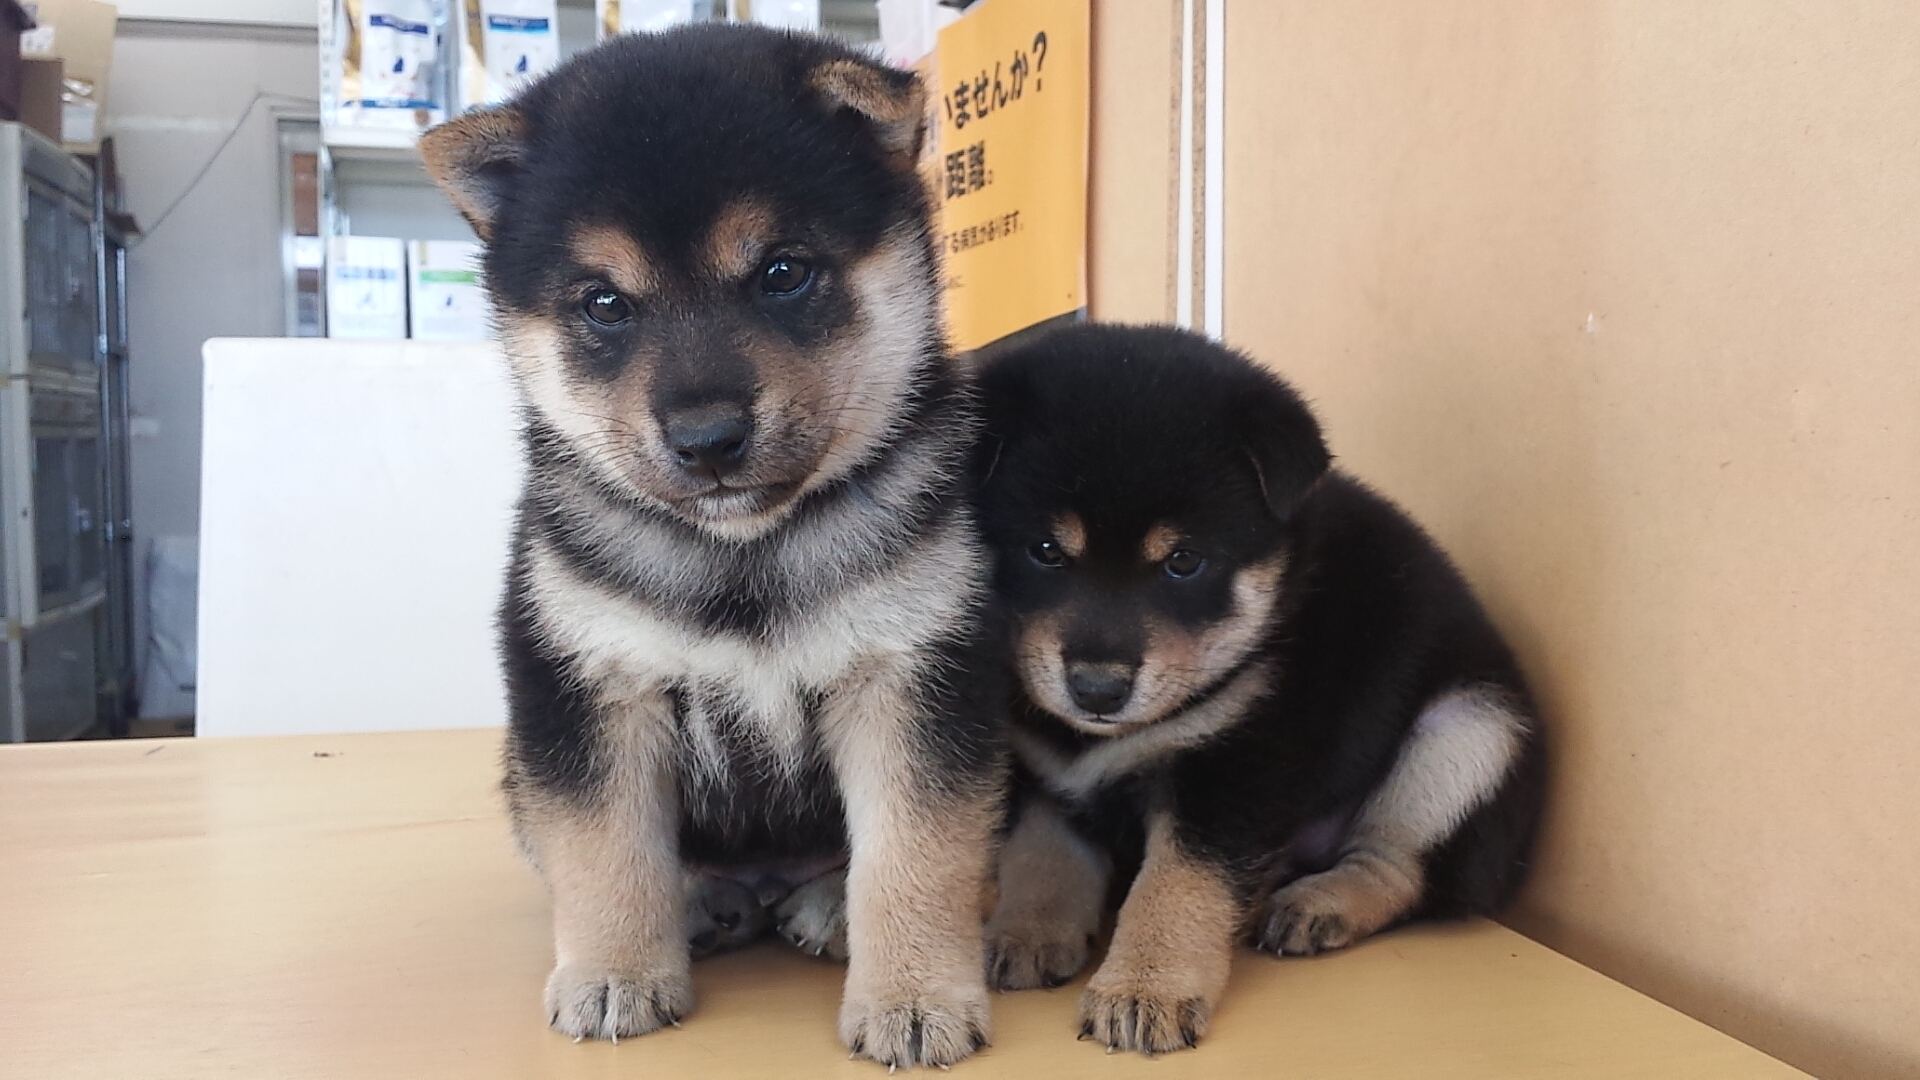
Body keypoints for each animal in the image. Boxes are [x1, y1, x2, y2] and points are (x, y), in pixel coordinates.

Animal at [424, 27, 1006, 1068]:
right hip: (521, 772)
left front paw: (914, 995)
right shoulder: (588, 687)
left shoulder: (914, 677)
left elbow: (916, 854)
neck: (744, 555)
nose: (706, 437)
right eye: (605, 303)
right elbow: (605, 849)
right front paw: (615, 972)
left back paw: (826, 908)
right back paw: (700, 904)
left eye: (782, 272)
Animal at [975, 326, 1543, 1053]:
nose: (1097, 689)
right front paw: (1027, 931)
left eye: (1184, 561)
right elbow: (1042, 852)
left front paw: (1145, 990)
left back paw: (1318, 904)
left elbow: (1177, 885)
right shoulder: (1035, 769)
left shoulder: (1235, 768)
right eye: (1045, 550)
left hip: (1470, 733)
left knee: (1399, 863)